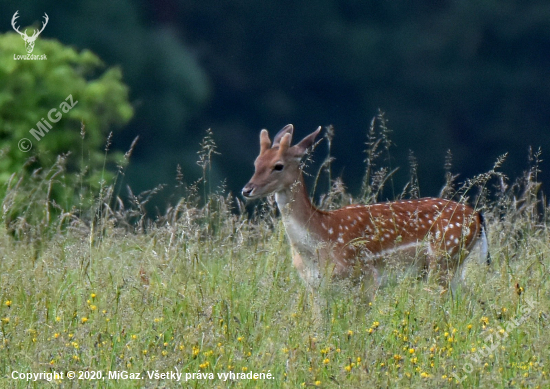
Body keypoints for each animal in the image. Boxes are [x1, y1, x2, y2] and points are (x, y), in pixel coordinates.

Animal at [243, 124, 492, 292]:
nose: (247, 189)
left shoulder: (367, 275)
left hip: (443, 258)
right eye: (256, 163)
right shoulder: (316, 287)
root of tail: (478, 217)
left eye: (278, 166)